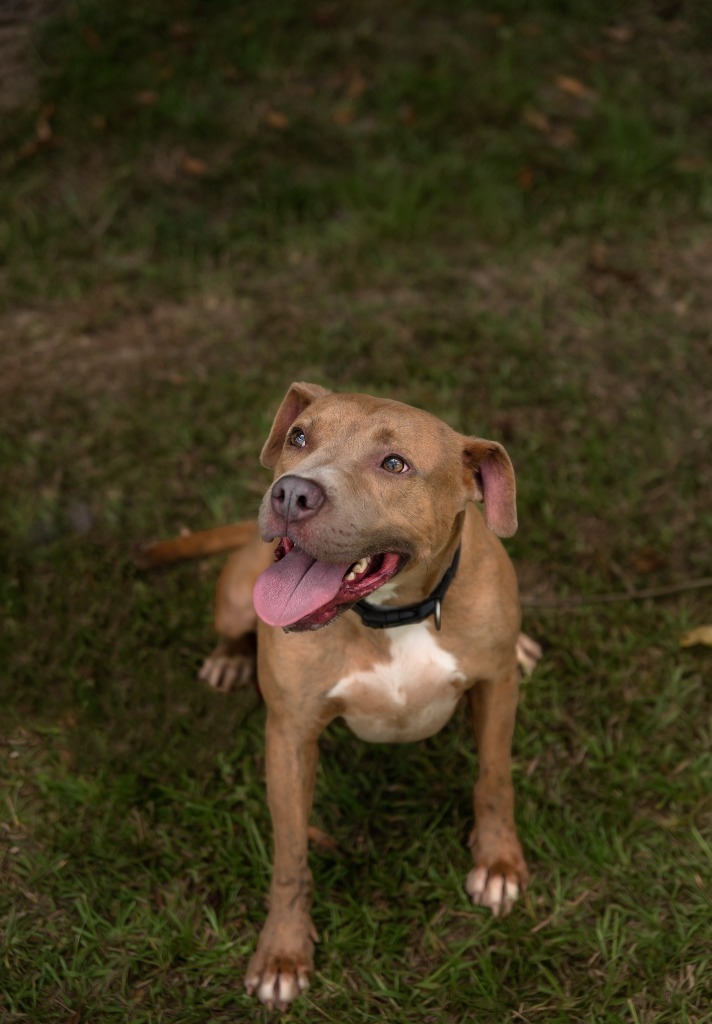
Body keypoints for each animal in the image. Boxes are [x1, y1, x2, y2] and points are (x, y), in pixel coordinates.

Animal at [138, 382, 540, 1007]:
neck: (391, 616)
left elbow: (494, 781)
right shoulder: (290, 736)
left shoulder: (495, 690)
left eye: (395, 464)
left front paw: (498, 864)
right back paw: (230, 660)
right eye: (299, 436)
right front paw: (283, 952)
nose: (291, 493)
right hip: (234, 598)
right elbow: (289, 856)